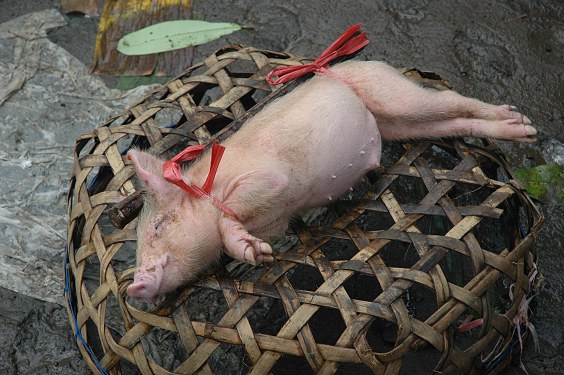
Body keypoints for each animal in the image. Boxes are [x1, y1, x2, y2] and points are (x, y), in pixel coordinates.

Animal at [125, 61, 536, 302]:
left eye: (159, 225)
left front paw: (252, 252)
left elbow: (233, 214)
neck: (208, 187)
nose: (134, 285)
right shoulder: (276, 219)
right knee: (450, 123)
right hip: (401, 125)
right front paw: (259, 253)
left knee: (448, 97)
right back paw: (519, 129)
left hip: (390, 92)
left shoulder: (265, 180)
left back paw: (523, 125)